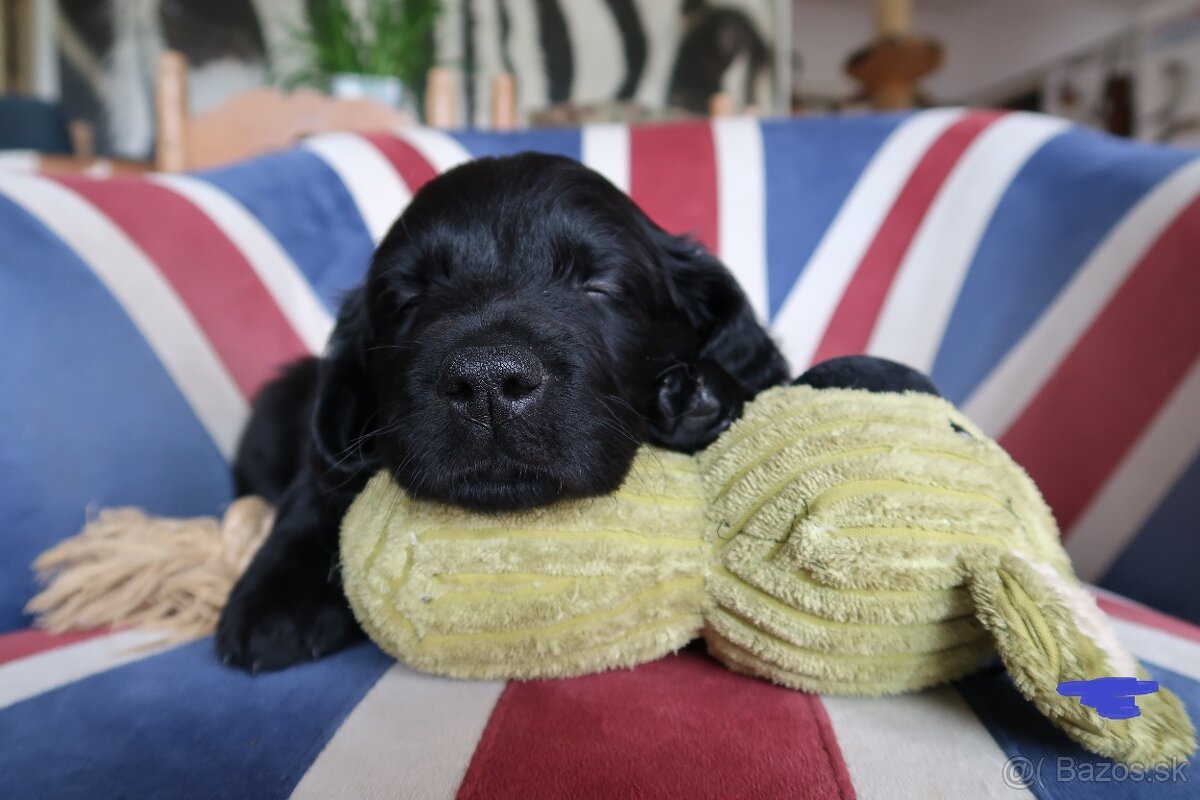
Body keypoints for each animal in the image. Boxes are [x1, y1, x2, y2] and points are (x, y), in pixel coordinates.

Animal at [219, 151, 792, 671]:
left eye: (600, 285)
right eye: (409, 298)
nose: (488, 381)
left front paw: (701, 397)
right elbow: (316, 484)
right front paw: (274, 595)